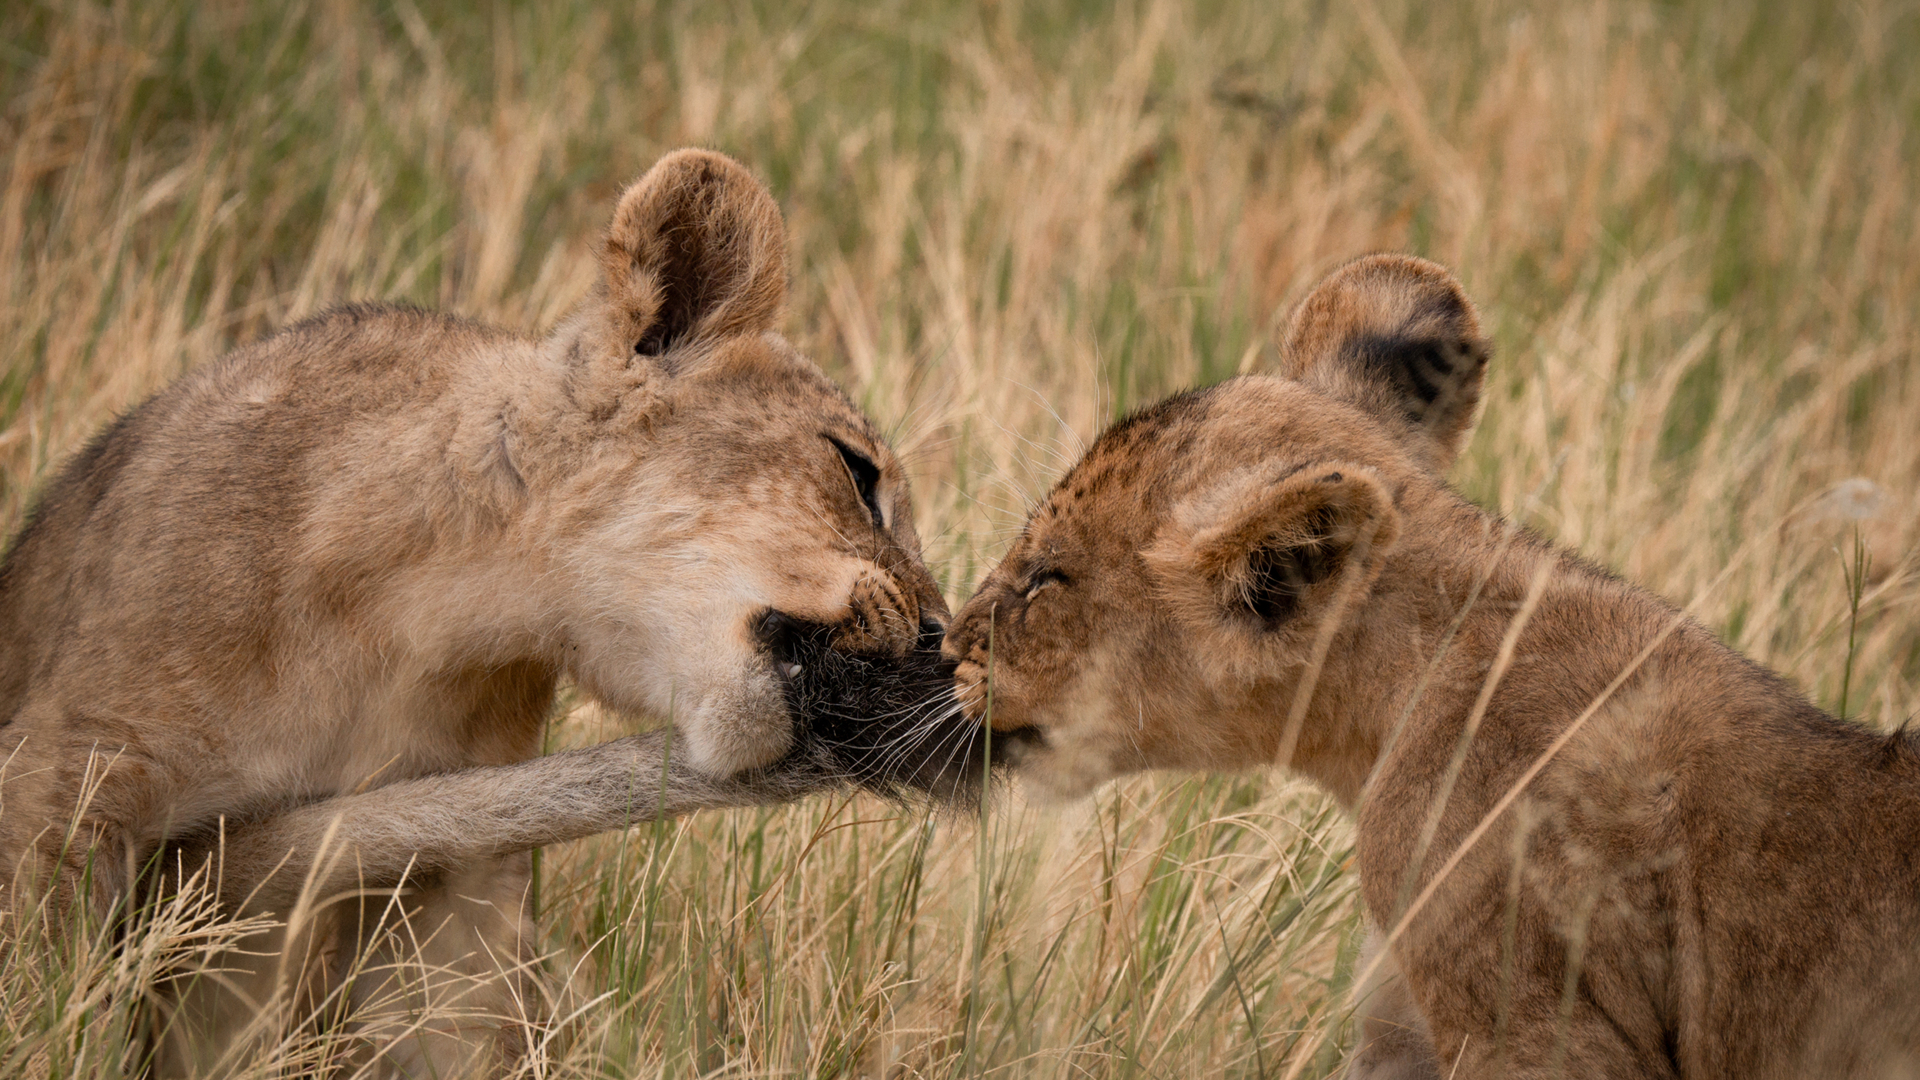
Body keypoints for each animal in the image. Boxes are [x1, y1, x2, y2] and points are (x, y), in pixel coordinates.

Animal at [0, 148, 979, 1077]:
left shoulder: (454, 892)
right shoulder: (63, 786)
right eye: (857, 473)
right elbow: (41, 1006)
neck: (426, 618)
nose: (943, 637)